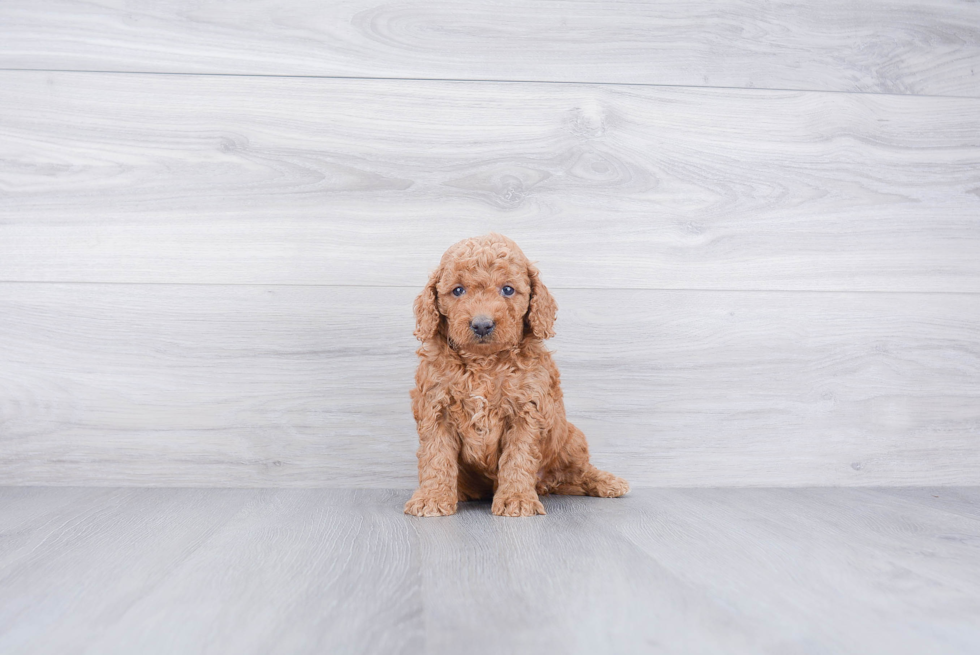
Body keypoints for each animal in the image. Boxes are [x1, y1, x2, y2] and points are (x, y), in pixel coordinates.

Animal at [404, 232, 628, 516]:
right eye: (458, 290)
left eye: (508, 289)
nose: (482, 324)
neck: (484, 362)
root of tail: (547, 484)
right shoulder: (436, 407)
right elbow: (436, 456)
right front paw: (432, 498)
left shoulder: (527, 410)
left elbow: (518, 457)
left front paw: (516, 500)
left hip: (571, 437)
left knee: (579, 470)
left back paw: (608, 482)